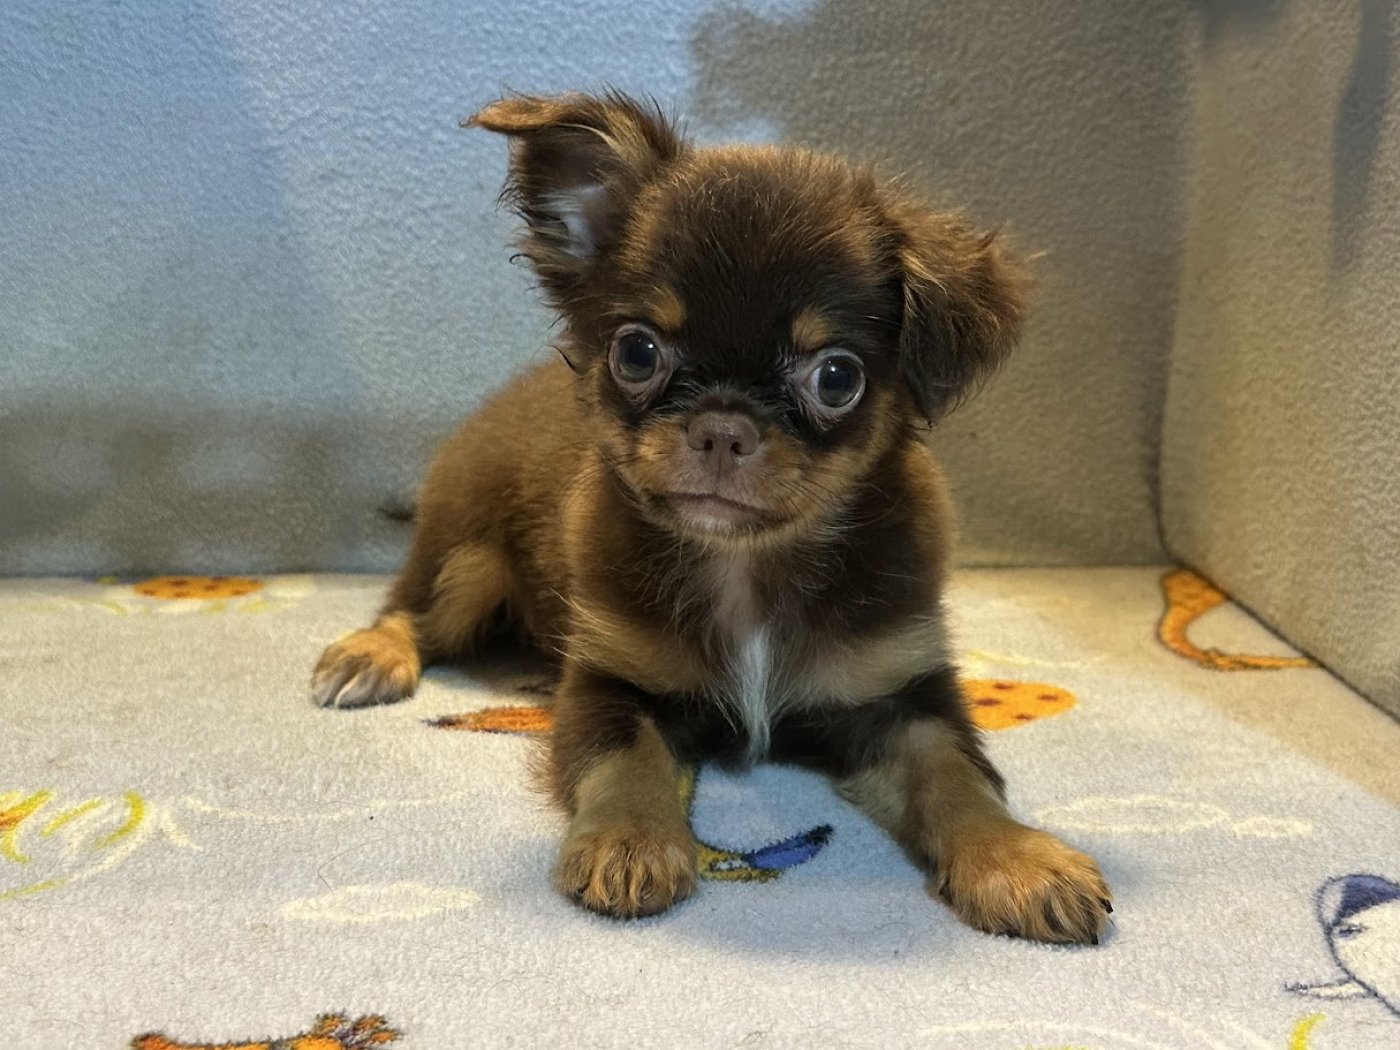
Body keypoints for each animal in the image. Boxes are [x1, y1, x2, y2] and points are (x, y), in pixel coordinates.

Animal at [311, 91, 1111, 944]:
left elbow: (959, 774)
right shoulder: (609, 681)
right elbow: (626, 757)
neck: (747, 567)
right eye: (636, 353)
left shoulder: (903, 698)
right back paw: (370, 656)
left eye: (836, 377)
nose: (723, 427)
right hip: (465, 559)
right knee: (409, 609)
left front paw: (1018, 858)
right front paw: (631, 841)